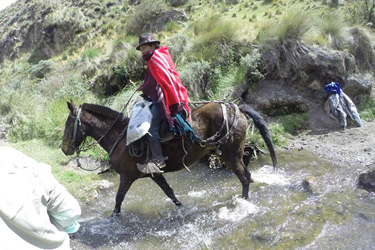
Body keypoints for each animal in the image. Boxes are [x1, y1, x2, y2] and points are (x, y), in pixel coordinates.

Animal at [61, 100, 278, 216]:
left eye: (69, 123)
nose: (64, 149)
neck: (121, 138)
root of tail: (236, 108)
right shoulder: (155, 174)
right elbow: (170, 193)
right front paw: (182, 208)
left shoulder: (127, 176)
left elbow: (118, 199)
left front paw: (113, 218)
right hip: (234, 155)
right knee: (248, 175)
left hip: (230, 155)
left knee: (244, 178)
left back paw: (244, 203)